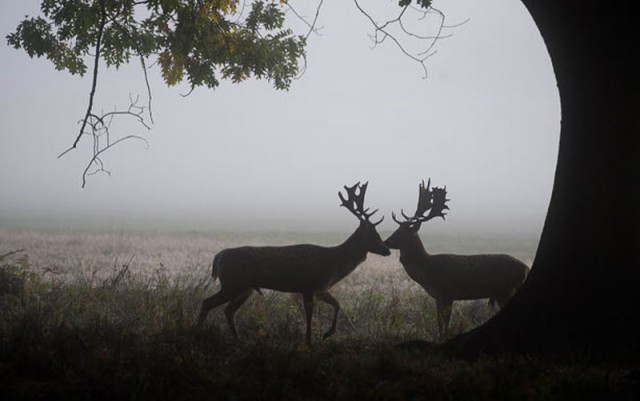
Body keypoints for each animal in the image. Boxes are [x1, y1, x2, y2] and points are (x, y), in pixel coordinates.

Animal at [196, 181, 390, 344]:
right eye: (373, 234)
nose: (387, 249)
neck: (334, 264)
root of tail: (218, 256)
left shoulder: (320, 288)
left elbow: (336, 304)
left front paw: (326, 334)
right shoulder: (310, 286)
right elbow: (310, 315)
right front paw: (310, 341)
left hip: (244, 288)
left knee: (228, 310)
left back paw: (237, 339)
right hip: (232, 283)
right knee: (207, 302)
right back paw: (197, 332)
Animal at [384, 180, 528, 340]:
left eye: (402, 232)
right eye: (396, 229)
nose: (385, 242)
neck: (427, 272)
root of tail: (526, 268)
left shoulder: (447, 293)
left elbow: (445, 324)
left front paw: (443, 339)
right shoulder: (438, 297)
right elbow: (440, 323)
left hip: (506, 290)